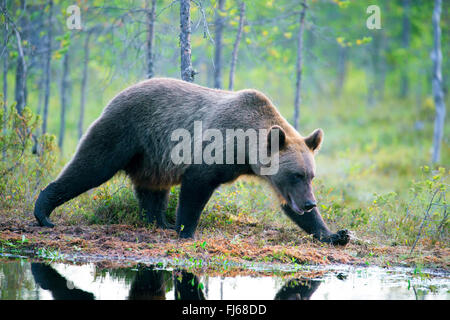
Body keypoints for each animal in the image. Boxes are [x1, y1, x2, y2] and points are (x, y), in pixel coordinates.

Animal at [34, 77, 352, 245]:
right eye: (296, 174)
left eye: (311, 175)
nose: (310, 202)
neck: (245, 149)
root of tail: (121, 91)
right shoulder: (215, 146)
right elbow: (196, 186)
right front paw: (186, 229)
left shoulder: (270, 174)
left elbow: (289, 206)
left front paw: (336, 233)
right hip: (124, 130)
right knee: (91, 166)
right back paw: (44, 211)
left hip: (152, 156)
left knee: (152, 188)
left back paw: (157, 221)